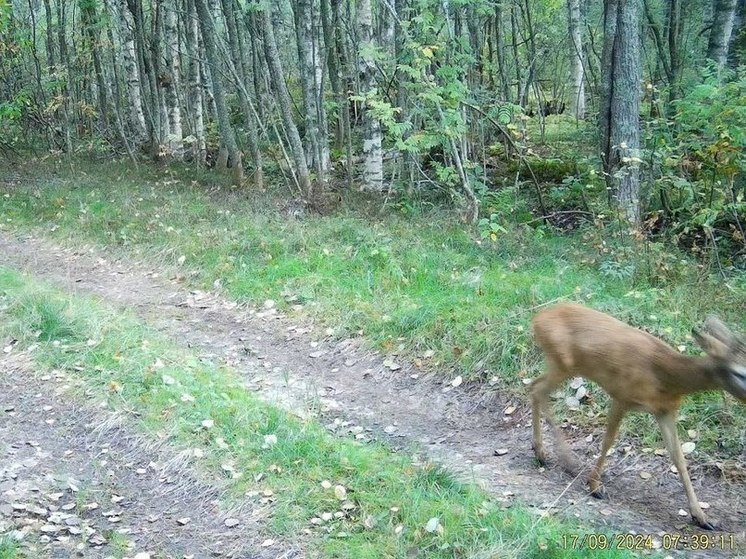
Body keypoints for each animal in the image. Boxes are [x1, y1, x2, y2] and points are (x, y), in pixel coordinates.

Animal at [528, 304, 744, 532]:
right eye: (739, 373)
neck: (666, 377)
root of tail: (537, 318)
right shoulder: (622, 395)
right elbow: (608, 441)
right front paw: (595, 486)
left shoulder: (665, 411)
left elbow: (678, 457)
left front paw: (701, 517)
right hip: (563, 363)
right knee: (538, 390)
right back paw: (558, 459)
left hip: (560, 365)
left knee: (534, 386)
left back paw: (543, 453)